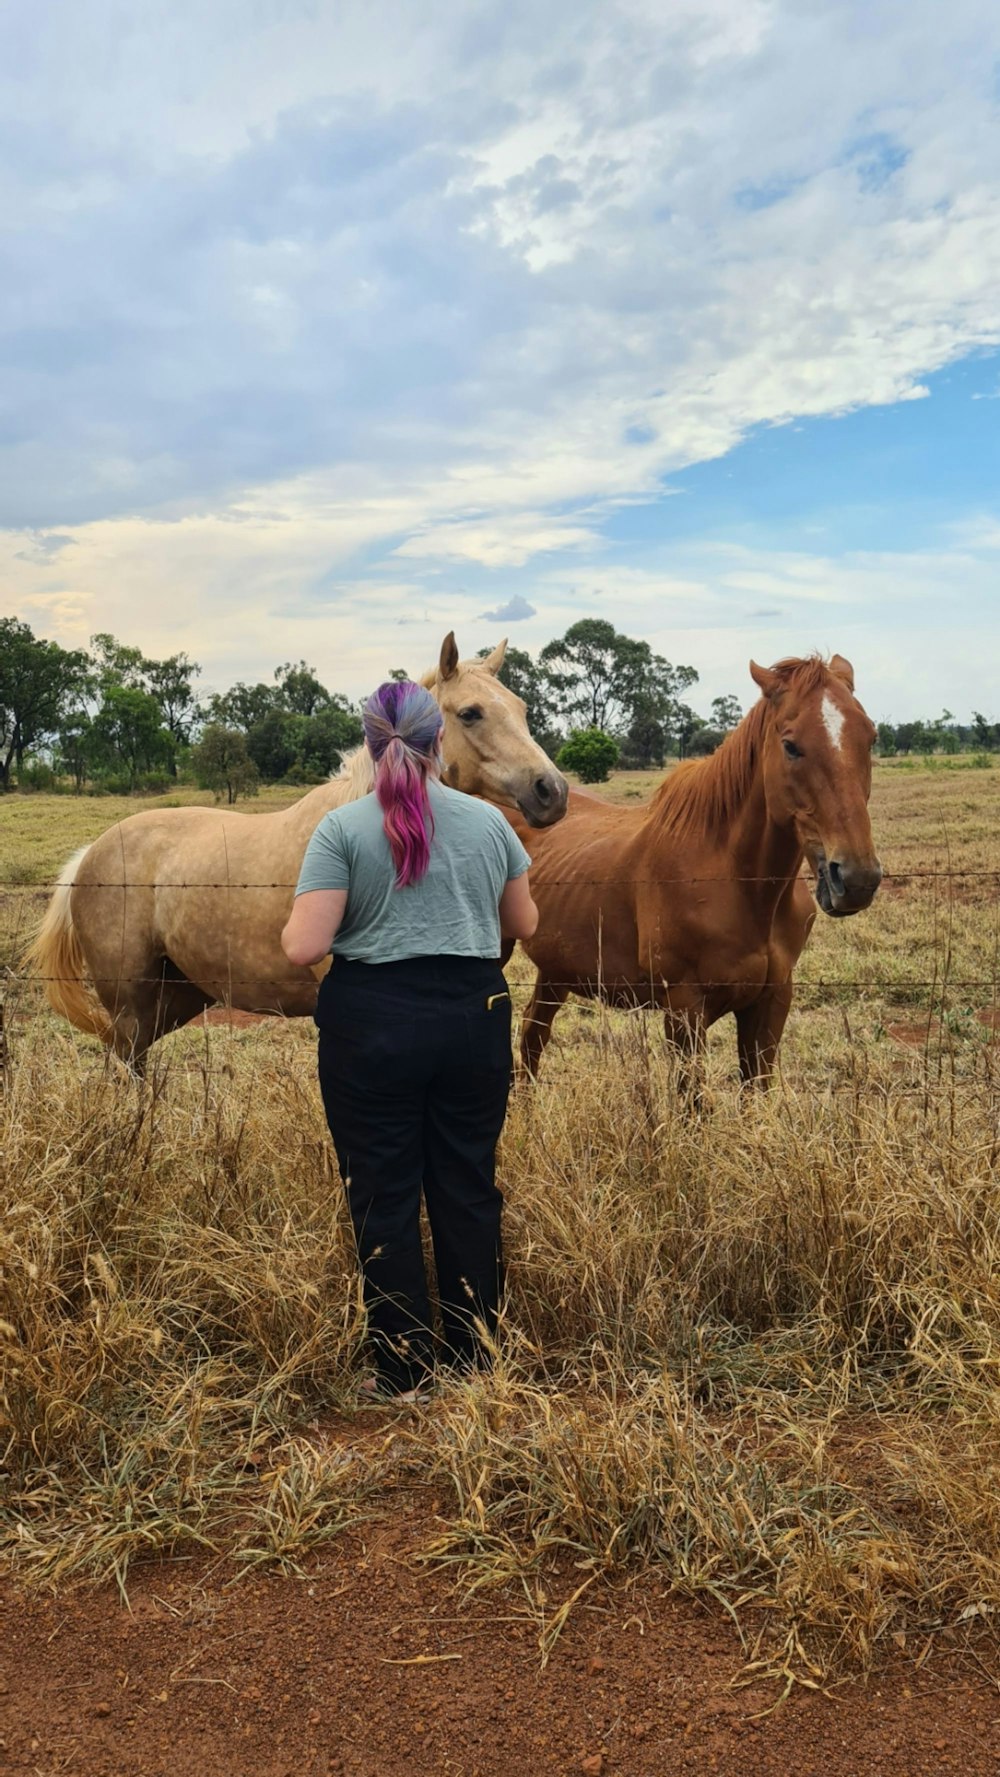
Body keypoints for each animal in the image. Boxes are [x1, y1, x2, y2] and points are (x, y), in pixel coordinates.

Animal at [27, 632, 568, 1059]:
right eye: (471, 713)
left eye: (522, 710)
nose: (552, 791)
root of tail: (89, 855)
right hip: (131, 1006)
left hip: (174, 999)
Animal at [511, 653, 880, 1080]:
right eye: (790, 746)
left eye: (870, 738)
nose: (856, 879)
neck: (739, 881)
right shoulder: (685, 1009)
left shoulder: (771, 1005)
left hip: (555, 969)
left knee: (533, 1035)